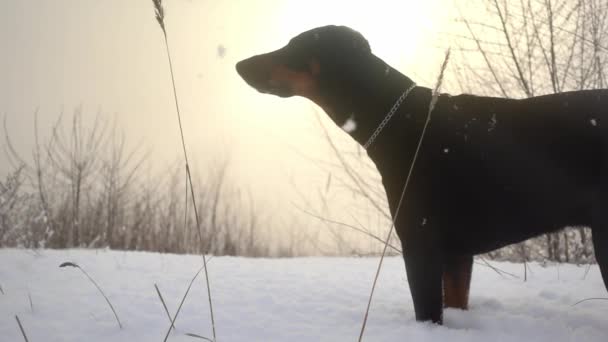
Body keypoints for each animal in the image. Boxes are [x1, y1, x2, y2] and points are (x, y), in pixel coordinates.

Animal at [236, 26, 608, 324]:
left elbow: (427, 310)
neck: (402, 120)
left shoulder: (420, 242)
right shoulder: (457, 254)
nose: (240, 65)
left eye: (293, 46)